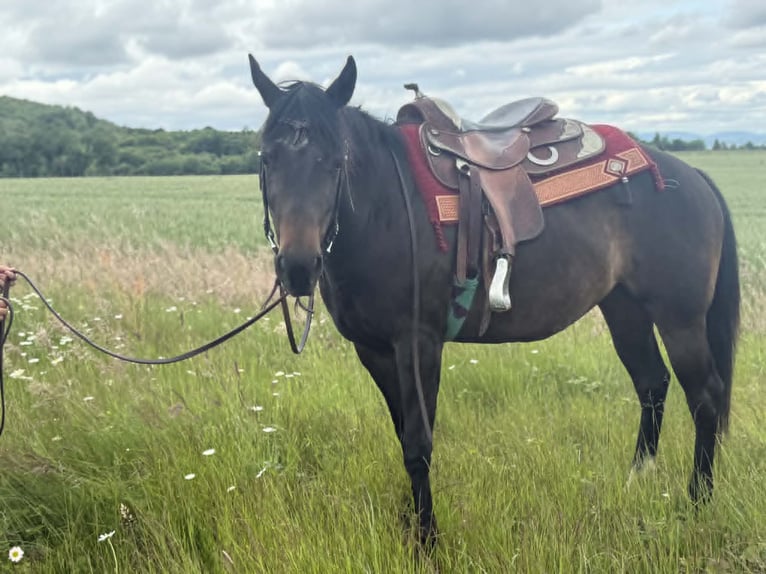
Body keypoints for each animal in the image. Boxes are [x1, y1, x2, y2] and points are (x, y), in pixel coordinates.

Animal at [247, 54, 740, 544]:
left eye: (335, 161)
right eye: (267, 159)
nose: (298, 266)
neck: (385, 208)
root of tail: (690, 176)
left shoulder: (419, 343)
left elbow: (419, 444)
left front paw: (428, 540)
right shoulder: (373, 350)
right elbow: (402, 434)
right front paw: (412, 523)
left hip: (680, 319)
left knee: (705, 397)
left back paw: (698, 500)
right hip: (625, 310)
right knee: (652, 384)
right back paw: (637, 479)